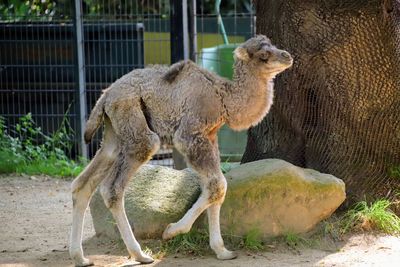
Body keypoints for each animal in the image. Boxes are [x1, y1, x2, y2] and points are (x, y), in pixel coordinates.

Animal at [70, 35, 292, 266]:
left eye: (273, 45)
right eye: (263, 54)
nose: (287, 56)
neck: (223, 97)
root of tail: (105, 96)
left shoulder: (210, 137)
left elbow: (214, 186)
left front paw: (222, 251)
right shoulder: (189, 136)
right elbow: (218, 184)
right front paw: (171, 230)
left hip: (113, 134)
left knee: (83, 184)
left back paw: (81, 258)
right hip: (135, 124)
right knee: (113, 187)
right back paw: (140, 254)